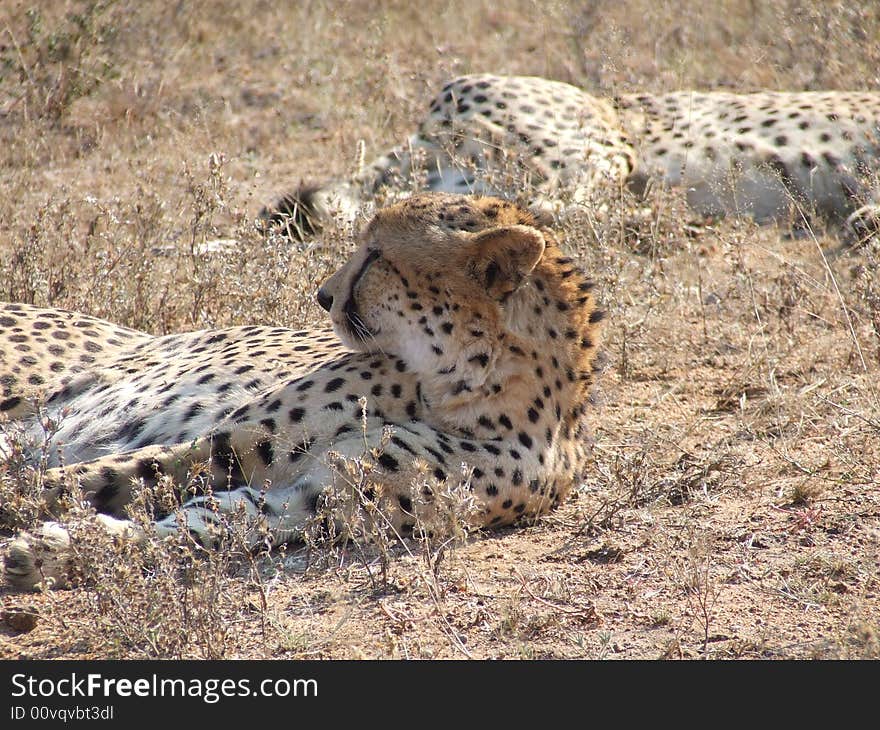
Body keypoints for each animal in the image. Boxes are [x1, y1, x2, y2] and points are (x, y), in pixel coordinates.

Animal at [0, 192, 604, 584]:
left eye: (376, 256)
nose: (322, 294)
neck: (458, 386)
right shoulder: (225, 445)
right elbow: (87, 477)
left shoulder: (313, 502)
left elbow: (200, 525)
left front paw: (58, 550)